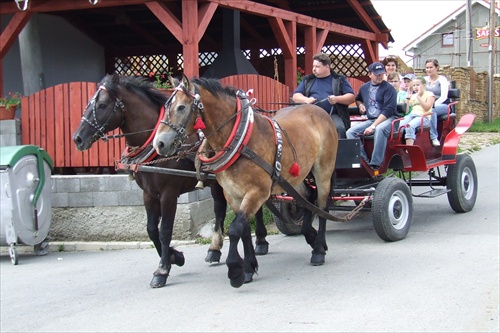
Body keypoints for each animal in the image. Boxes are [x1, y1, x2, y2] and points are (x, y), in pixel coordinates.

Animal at [72, 74, 268, 286]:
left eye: (102, 105)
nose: (77, 139)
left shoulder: (169, 194)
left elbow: (165, 231)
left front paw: (163, 269)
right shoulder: (148, 194)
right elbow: (151, 230)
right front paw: (176, 257)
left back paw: (261, 241)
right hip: (217, 182)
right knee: (219, 208)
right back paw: (214, 249)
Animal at [153, 76, 340, 288]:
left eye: (181, 107)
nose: (159, 143)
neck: (239, 139)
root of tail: (319, 110)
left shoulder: (257, 193)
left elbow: (235, 229)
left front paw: (235, 270)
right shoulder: (233, 195)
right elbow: (243, 230)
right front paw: (249, 267)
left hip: (323, 170)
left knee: (322, 205)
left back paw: (318, 250)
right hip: (294, 176)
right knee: (308, 197)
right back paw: (310, 234)